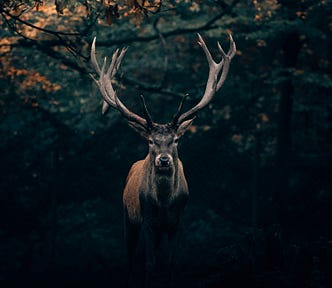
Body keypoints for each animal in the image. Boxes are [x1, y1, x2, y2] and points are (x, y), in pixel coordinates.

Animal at [91, 32, 236, 286]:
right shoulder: (148, 221)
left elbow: (170, 264)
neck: (164, 204)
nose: (164, 160)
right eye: (150, 141)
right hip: (128, 218)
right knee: (130, 259)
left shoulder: (177, 223)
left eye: (176, 140)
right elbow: (150, 265)